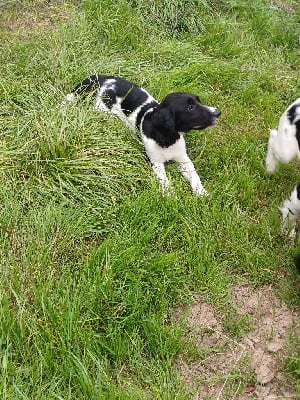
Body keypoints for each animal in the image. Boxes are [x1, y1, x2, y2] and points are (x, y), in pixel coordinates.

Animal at [65, 75, 220, 195]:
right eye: (190, 107)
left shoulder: (183, 158)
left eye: (198, 101)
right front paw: (170, 196)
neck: (167, 137)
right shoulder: (156, 162)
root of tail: (90, 80)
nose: (218, 112)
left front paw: (201, 193)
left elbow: (194, 175)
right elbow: (165, 181)